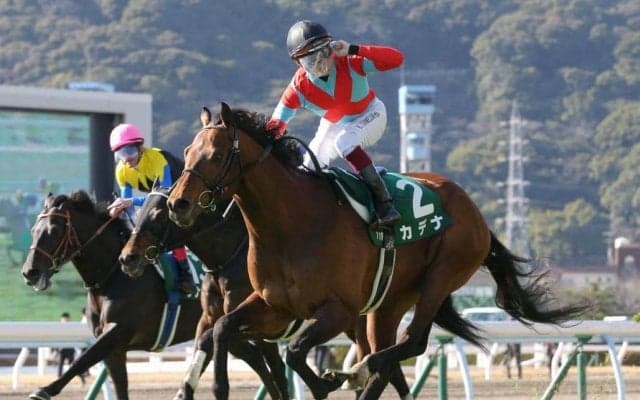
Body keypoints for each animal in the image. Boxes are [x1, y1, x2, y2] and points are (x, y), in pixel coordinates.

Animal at [21, 191, 203, 400]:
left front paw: (44, 390)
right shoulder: (114, 350)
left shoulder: (117, 331)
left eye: (55, 231)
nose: (29, 272)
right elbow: (118, 387)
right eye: (34, 230)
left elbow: (82, 359)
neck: (112, 276)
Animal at [166, 103, 585, 400]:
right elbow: (223, 328)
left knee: (410, 343)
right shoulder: (275, 306)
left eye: (216, 155)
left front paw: (325, 383)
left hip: (441, 275)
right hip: (387, 303)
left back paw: (355, 371)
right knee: (389, 357)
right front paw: (218, 388)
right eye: (188, 150)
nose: (177, 204)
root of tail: (475, 211)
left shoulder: (337, 309)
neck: (291, 224)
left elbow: (296, 352)